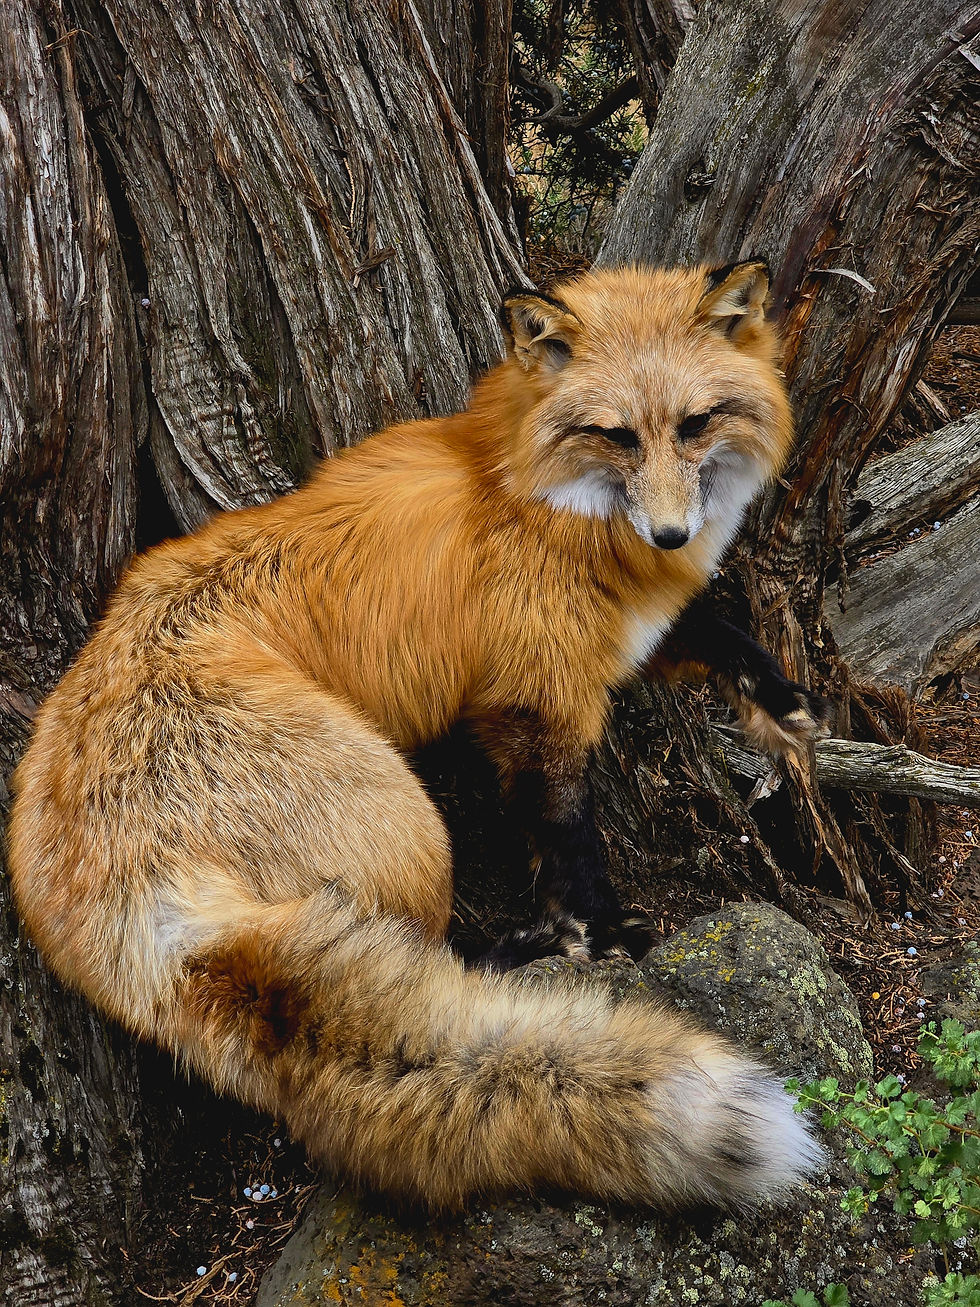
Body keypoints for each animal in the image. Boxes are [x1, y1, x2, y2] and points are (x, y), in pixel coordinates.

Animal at [8, 261, 827, 1210]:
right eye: (615, 435)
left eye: (696, 423)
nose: (671, 532)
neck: (534, 493)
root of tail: (149, 913)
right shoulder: (534, 696)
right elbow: (566, 830)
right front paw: (598, 931)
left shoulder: (622, 634)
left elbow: (715, 631)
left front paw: (783, 704)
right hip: (412, 828)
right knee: (421, 957)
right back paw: (519, 955)